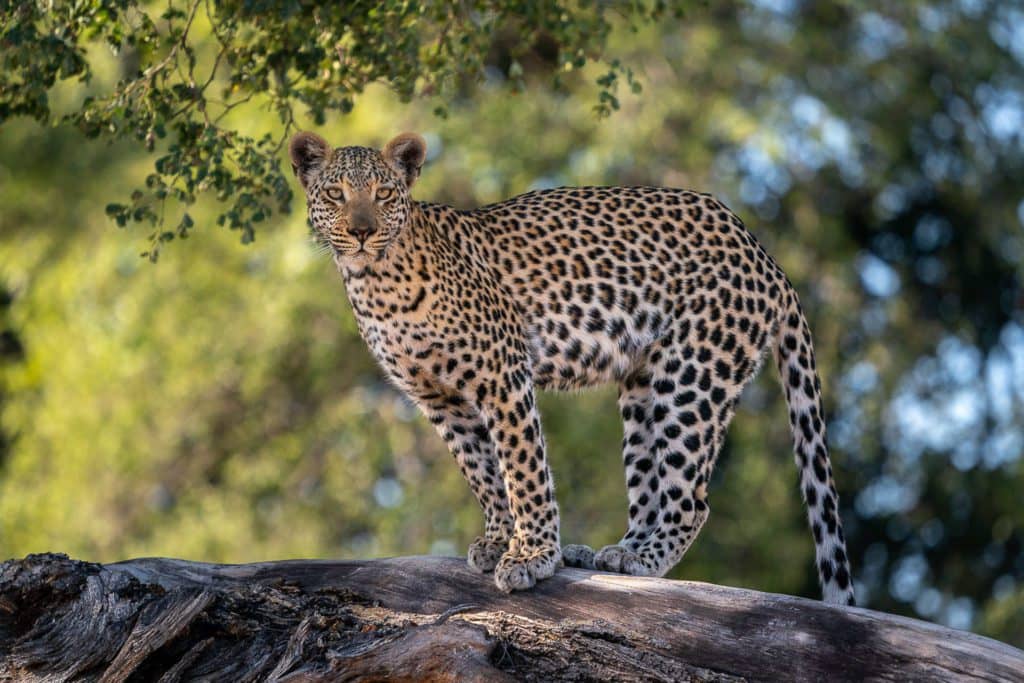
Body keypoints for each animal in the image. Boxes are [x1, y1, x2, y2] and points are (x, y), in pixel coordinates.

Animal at [289, 130, 855, 605]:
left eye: (384, 194)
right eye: (336, 194)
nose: (362, 231)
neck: (375, 281)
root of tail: (760, 250)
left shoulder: (503, 373)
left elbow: (523, 468)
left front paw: (532, 555)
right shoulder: (440, 399)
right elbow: (482, 473)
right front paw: (499, 540)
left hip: (693, 377)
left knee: (692, 499)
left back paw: (644, 559)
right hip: (642, 386)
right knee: (648, 486)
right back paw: (615, 553)